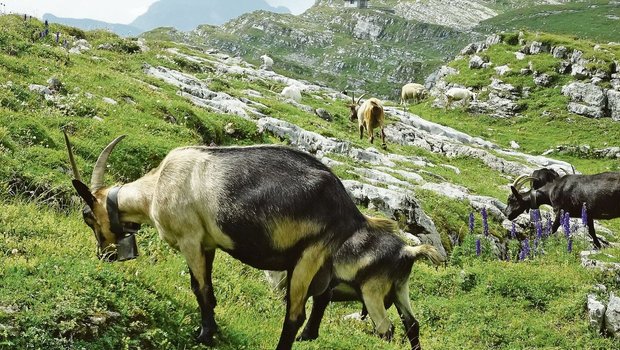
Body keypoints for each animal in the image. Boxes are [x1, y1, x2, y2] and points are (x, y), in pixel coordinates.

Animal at [66, 133, 388, 348]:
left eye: (88, 217)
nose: (105, 254)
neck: (156, 188)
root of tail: (351, 211)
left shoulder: (190, 239)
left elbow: (199, 288)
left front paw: (204, 335)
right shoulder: (207, 244)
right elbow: (209, 290)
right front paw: (212, 330)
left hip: (308, 256)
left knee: (295, 313)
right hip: (323, 262)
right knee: (322, 296)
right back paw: (308, 336)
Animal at [264, 217, 444, 348]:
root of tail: (407, 251)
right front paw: (306, 336)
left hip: (372, 293)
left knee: (386, 328)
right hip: (400, 290)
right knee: (412, 324)